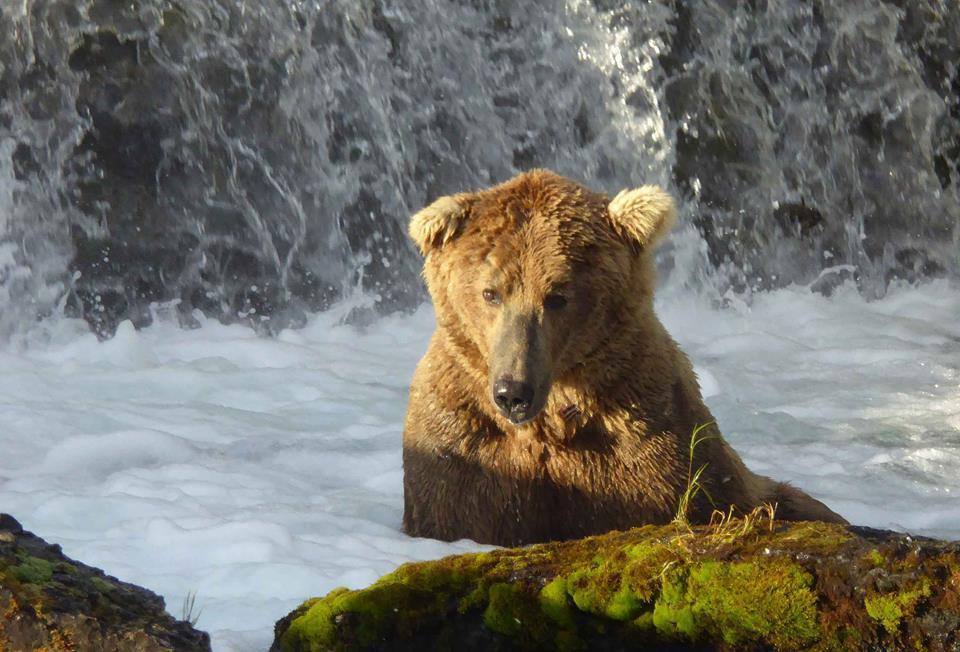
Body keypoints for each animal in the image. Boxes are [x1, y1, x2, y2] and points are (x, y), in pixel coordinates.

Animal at [402, 168, 844, 544]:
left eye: (557, 296)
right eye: (490, 292)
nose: (514, 392)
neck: (552, 422)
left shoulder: (648, 446)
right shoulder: (462, 444)